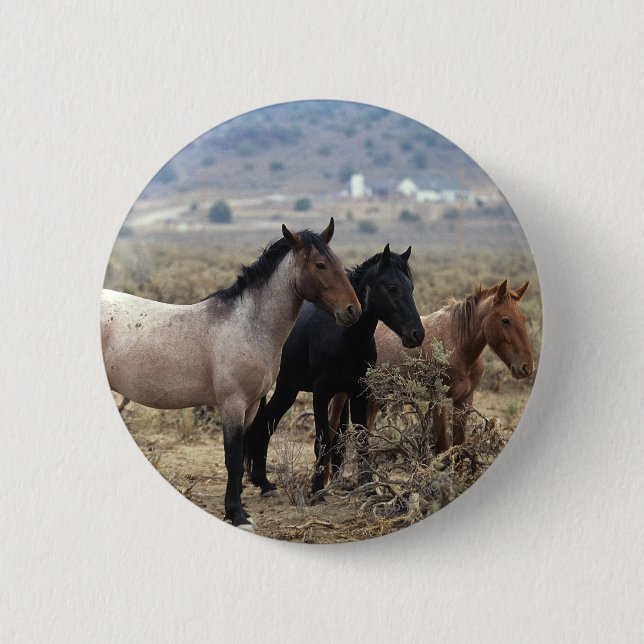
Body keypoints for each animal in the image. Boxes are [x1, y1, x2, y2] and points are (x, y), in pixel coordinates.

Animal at [101, 219, 361, 529]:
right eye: (320, 265)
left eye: (339, 262)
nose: (353, 310)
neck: (248, 325)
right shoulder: (232, 404)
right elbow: (233, 459)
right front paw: (237, 515)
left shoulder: (250, 406)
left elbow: (243, 452)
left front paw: (240, 510)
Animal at [244, 244, 425, 498]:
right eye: (392, 287)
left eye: (411, 287)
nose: (417, 334)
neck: (343, 337)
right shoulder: (321, 393)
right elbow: (323, 439)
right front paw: (317, 488)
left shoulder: (358, 392)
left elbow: (361, 438)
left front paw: (369, 488)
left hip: (287, 388)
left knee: (266, 423)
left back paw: (264, 483)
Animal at [328, 279, 534, 460]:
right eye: (505, 320)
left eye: (523, 319)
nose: (527, 366)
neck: (458, 344)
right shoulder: (439, 400)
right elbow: (442, 446)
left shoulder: (464, 401)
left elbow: (459, 445)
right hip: (344, 395)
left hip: (374, 397)